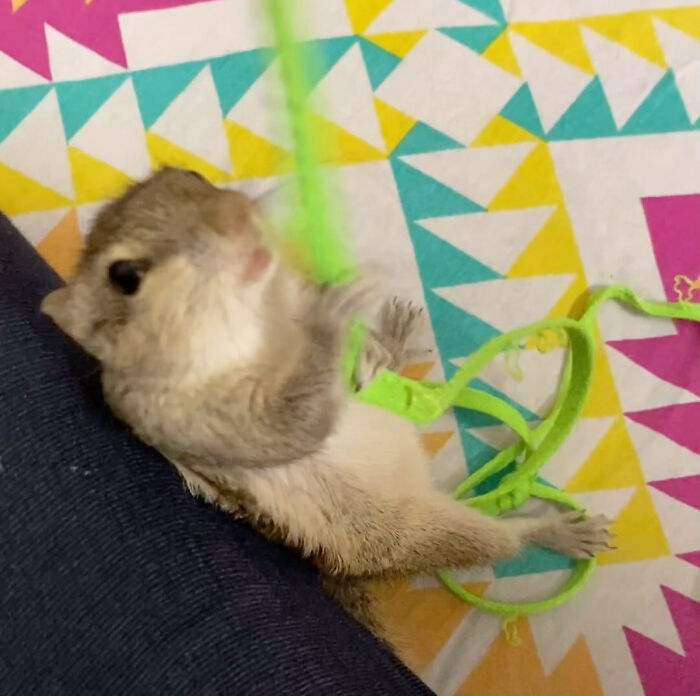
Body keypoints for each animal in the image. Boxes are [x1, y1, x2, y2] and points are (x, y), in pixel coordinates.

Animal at [42, 167, 611, 651]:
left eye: (192, 174)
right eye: (125, 275)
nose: (236, 216)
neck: (254, 317)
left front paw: (363, 341)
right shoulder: (205, 424)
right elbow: (293, 422)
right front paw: (332, 318)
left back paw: (393, 343)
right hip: (424, 531)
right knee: (501, 541)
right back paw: (558, 532)